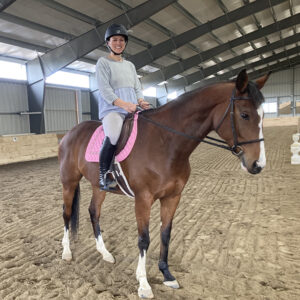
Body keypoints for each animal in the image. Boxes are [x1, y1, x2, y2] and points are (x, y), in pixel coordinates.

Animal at [58, 69, 270, 298]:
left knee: (94, 212)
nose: (258, 165)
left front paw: (167, 275)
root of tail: (70, 133)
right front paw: (143, 284)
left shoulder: (172, 196)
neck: (165, 142)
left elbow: (165, 234)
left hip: (99, 187)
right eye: (244, 115)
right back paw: (67, 253)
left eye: (262, 115)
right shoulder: (143, 199)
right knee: (67, 214)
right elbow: (144, 238)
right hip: (69, 182)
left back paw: (105, 254)